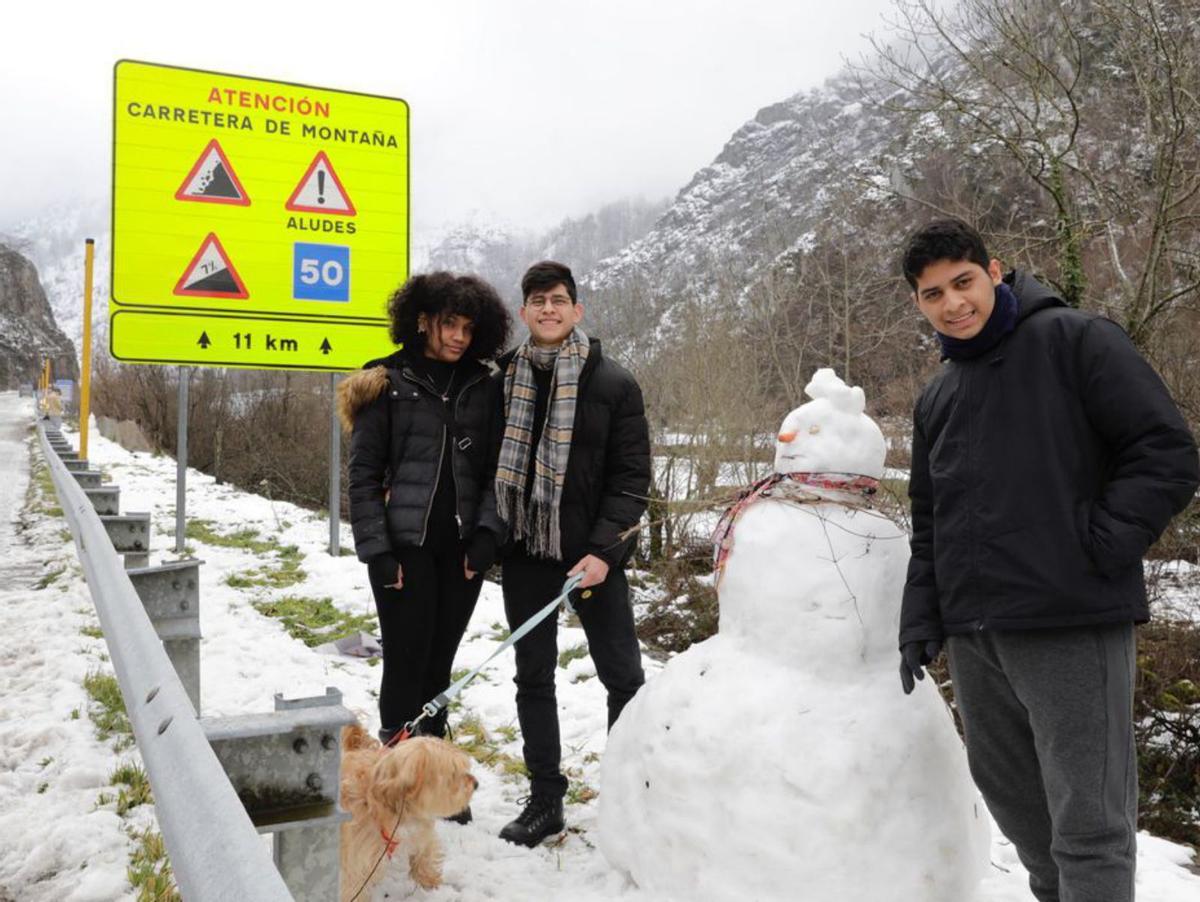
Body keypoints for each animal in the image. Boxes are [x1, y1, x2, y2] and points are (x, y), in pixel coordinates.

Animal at [338, 724, 477, 897]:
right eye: (453, 774)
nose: (476, 784)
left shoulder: (421, 829)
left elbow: (425, 852)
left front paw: (429, 880)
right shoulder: (356, 861)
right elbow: (354, 886)